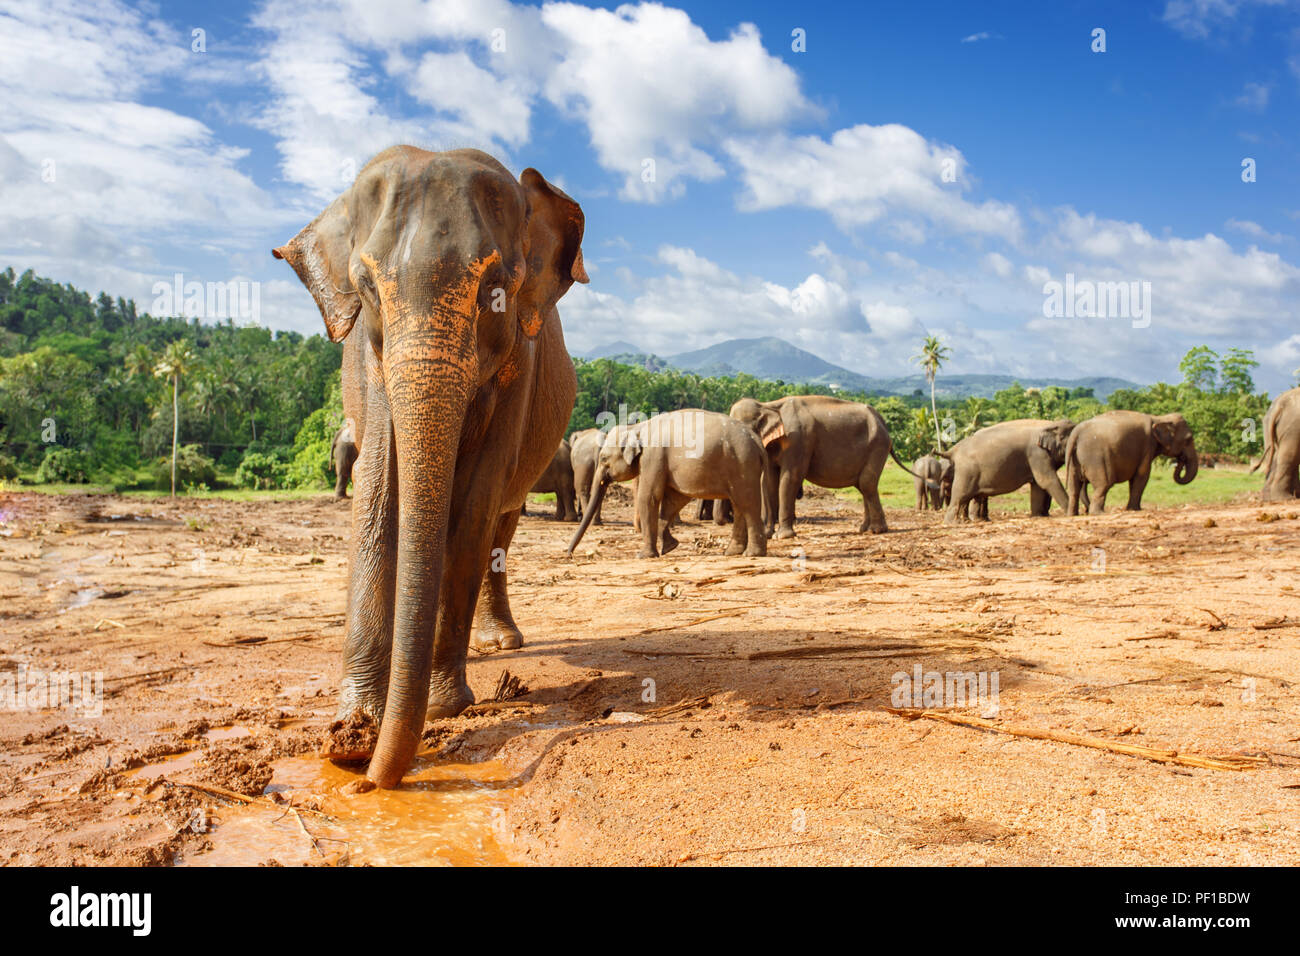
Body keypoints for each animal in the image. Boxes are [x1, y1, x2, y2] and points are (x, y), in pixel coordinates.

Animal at [274, 143, 590, 785]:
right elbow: (377, 490)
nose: (368, 777)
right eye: (366, 287)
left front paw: (442, 707)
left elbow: (473, 505)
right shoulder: (368, 361)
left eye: (495, 287)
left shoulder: (520, 361)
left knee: (500, 524)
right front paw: (356, 719)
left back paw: (501, 644)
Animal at [566, 408, 764, 556]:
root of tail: (758, 442)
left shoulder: (653, 457)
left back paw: (752, 554)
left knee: (747, 503)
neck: (637, 427)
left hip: (743, 464)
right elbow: (674, 499)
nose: (568, 554)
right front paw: (670, 546)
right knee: (739, 505)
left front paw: (644, 555)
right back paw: (732, 552)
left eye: (604, 459)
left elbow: (649, 497)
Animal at [733, 392, 935, 535]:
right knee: (864, 485)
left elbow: (790, 477)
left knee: (867, 483)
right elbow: (769, 480)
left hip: (878, 445)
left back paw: (877, 531)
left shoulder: (799, 440)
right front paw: (769, 535)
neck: (767, 405)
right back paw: (864, 529)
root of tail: (883, 422)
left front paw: (783, 536)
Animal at [941, 416, 1071, 522]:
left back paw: (979, 520)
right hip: (967, 472)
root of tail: (954, 450)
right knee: (962, 495)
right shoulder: (1037, 453)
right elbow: (1046, 480)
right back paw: (957, 522)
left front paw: (1039, 516)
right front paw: (1071, 511)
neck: (1051, 424)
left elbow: (1038, 484)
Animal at [1066, 411, 1196, 515]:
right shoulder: (1147, 447)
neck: (1159, 418)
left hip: (1074, 460)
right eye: (1188, 439)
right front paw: (1135, 509)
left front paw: (1133, 509)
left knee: (1074, 488)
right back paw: (1100, 513)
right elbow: (1142, 475)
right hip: (1096, 458)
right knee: (1104, 484)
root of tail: (1076, 433)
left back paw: (1072, 515)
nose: (1181, 459)